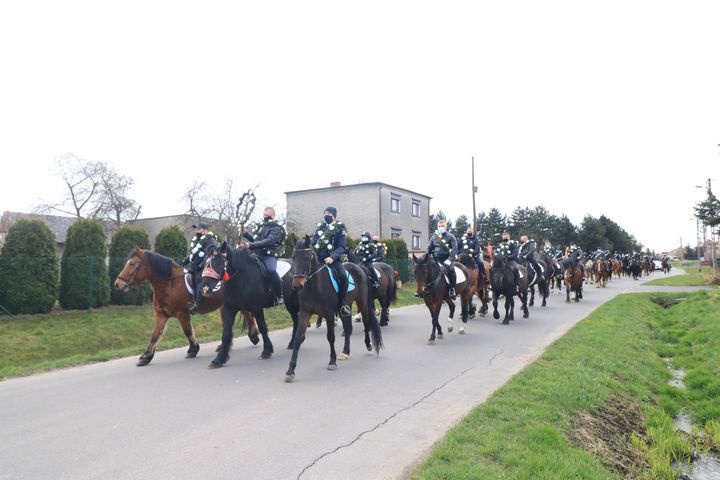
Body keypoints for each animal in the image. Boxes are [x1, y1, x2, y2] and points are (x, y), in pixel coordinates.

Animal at [112, 248, 258, 368]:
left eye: (132, 264)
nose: (118, 284)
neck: (170, 283)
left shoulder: (182, 313)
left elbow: (187, 331)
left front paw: (193, 349)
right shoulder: (160, 315)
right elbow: (155, 335)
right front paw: (146, 357)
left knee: (248, 315)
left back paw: (254, 336)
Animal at [288, 237, 386, 382]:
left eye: (306, 257)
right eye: (294, 257)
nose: (296, 286)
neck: (314, 287)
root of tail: (359, 267)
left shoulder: (329, 314)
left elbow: (330, 337)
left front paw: (332, 361)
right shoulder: (305, 313)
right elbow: (297, 339)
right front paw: (290, 370)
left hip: (362, 303)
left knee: (366, 321)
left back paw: (368, 345)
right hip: (345, 307)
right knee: (347, 328)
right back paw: (345, 352)